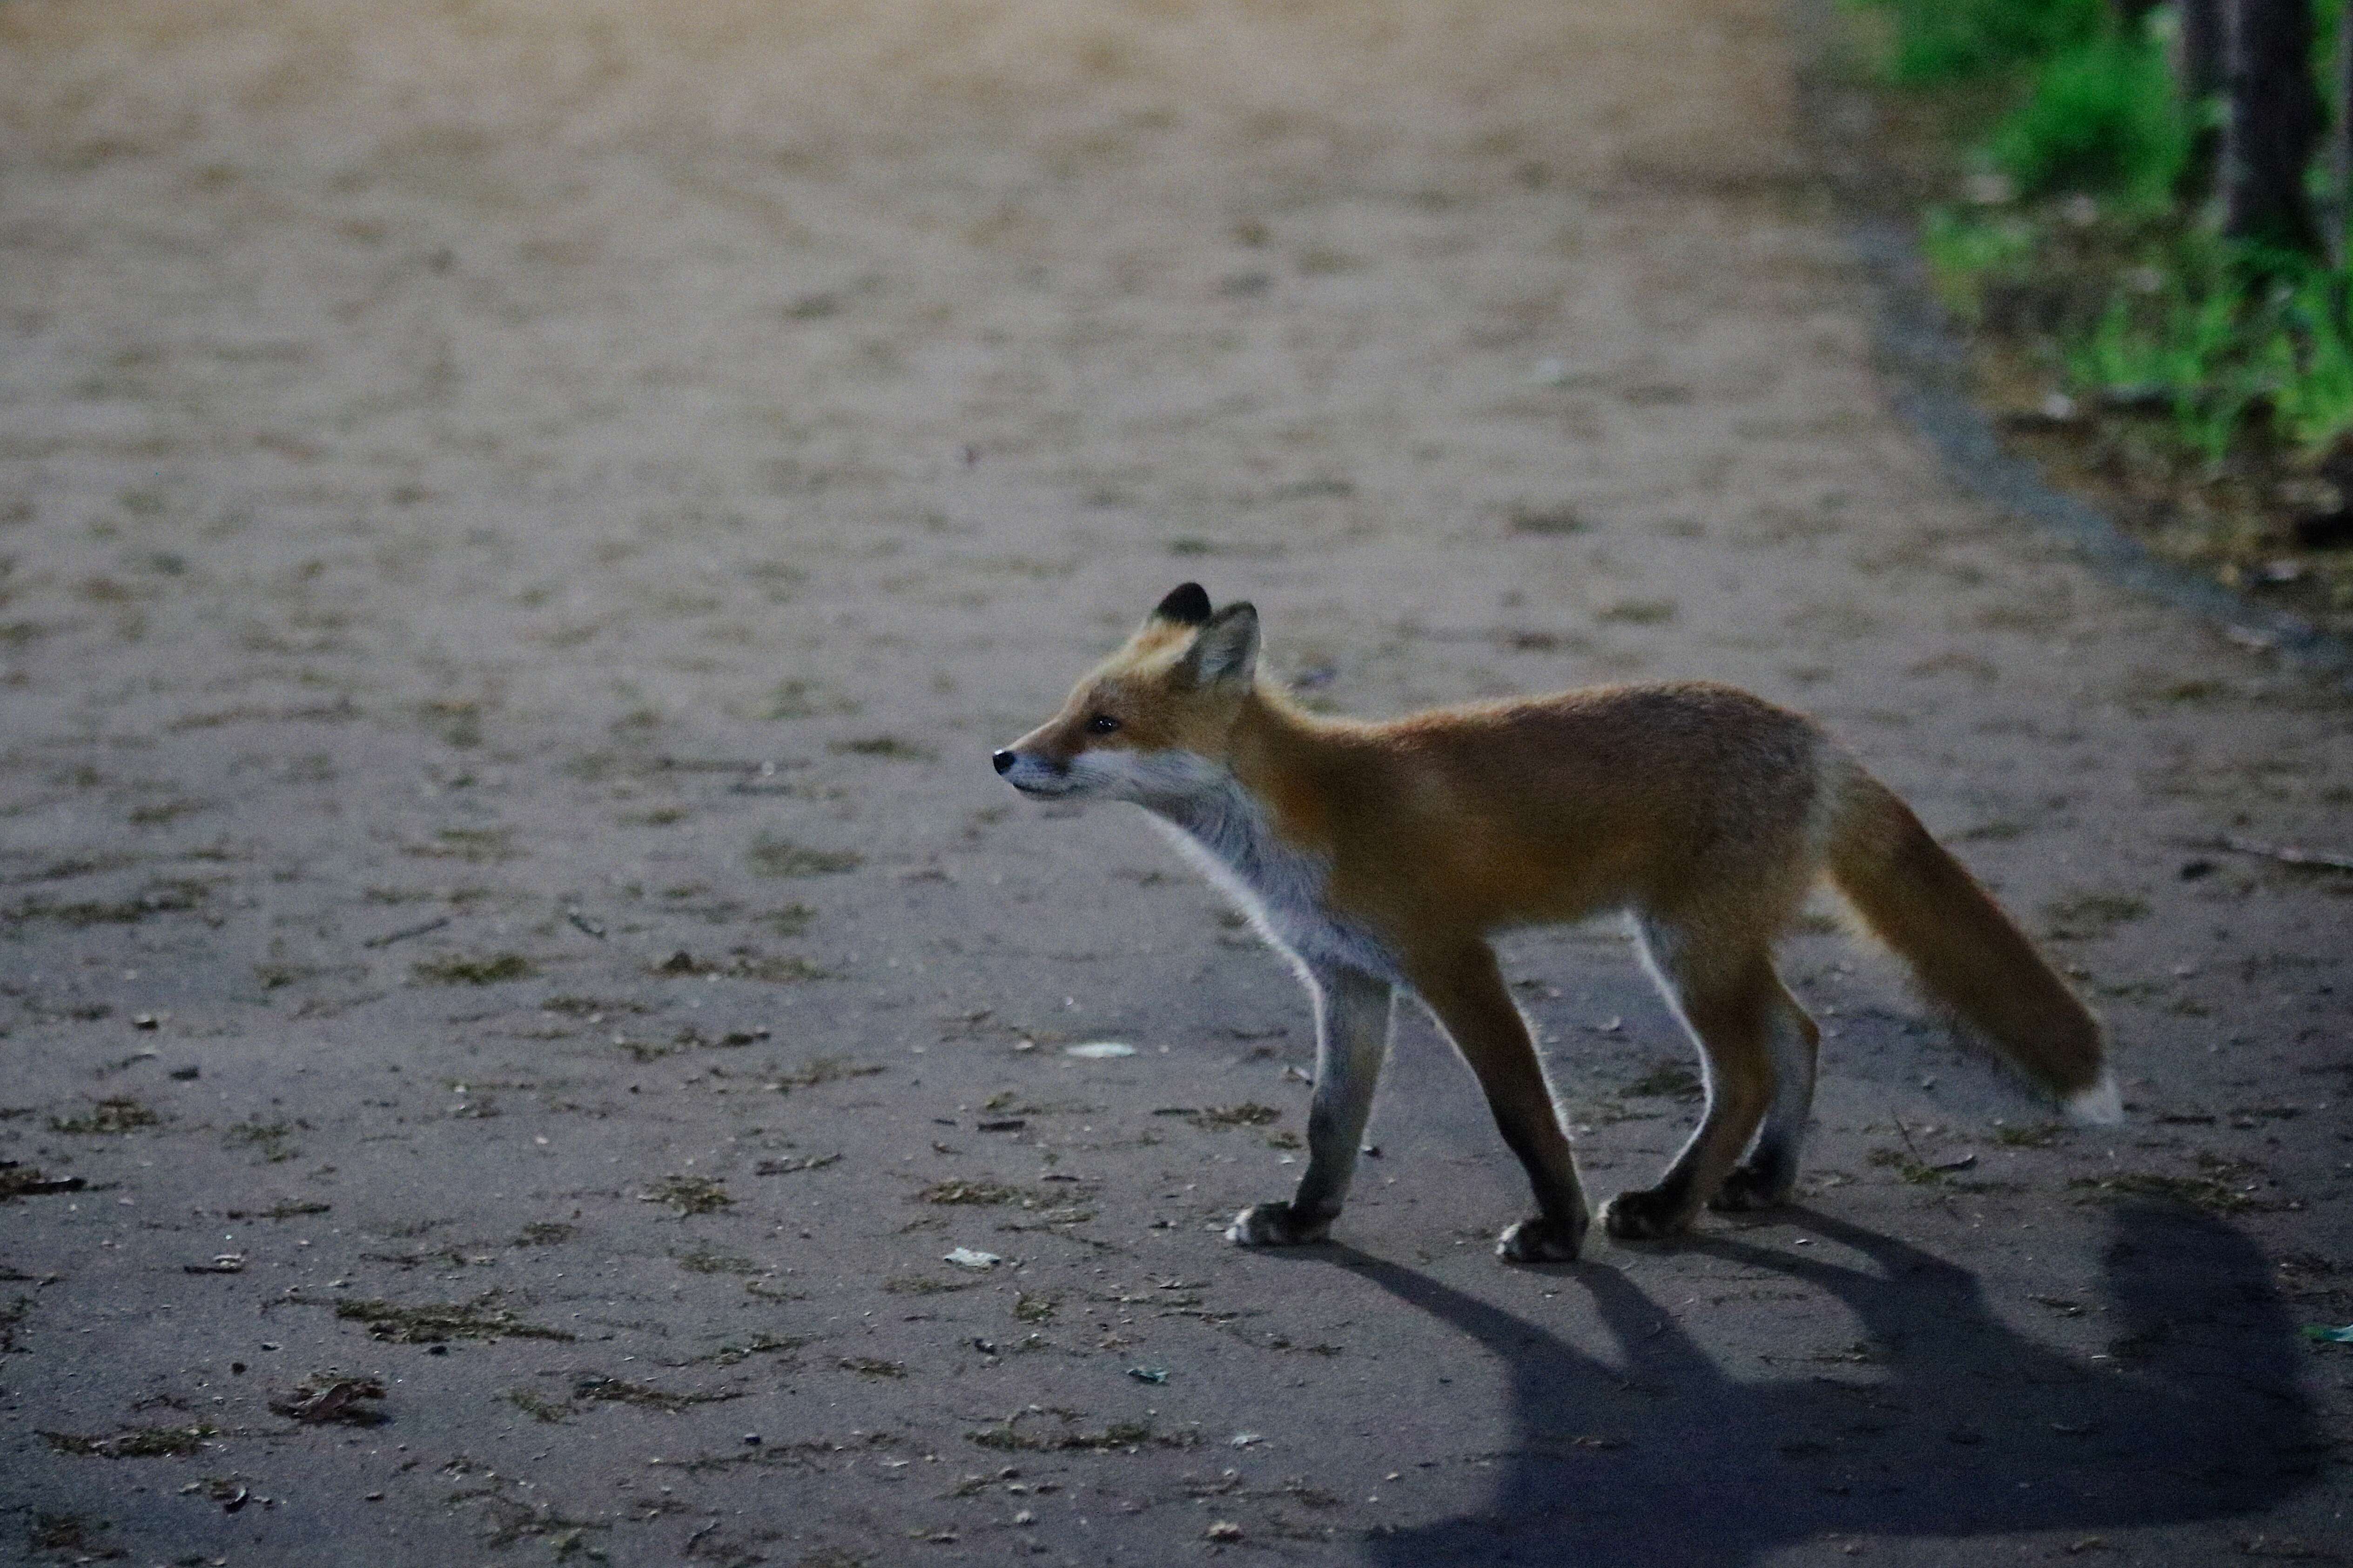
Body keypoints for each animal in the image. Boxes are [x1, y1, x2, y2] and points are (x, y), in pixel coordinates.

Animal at [988, 584, 2118, 1262]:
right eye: (1066, 707)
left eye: (1104, 724)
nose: (1003, 757)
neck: (1304, 820)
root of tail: (1814, 737)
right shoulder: (1347, 979)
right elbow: (1330, 1120)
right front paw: (1308, 1215)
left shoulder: (1453, 959)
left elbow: (1521, 1111)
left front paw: (1560, 1228)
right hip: (1715, 947)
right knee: (1800, 1033)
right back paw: (1760, 1181)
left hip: (1684, 950)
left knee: (1749, 1069)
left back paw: (1664, 1206)